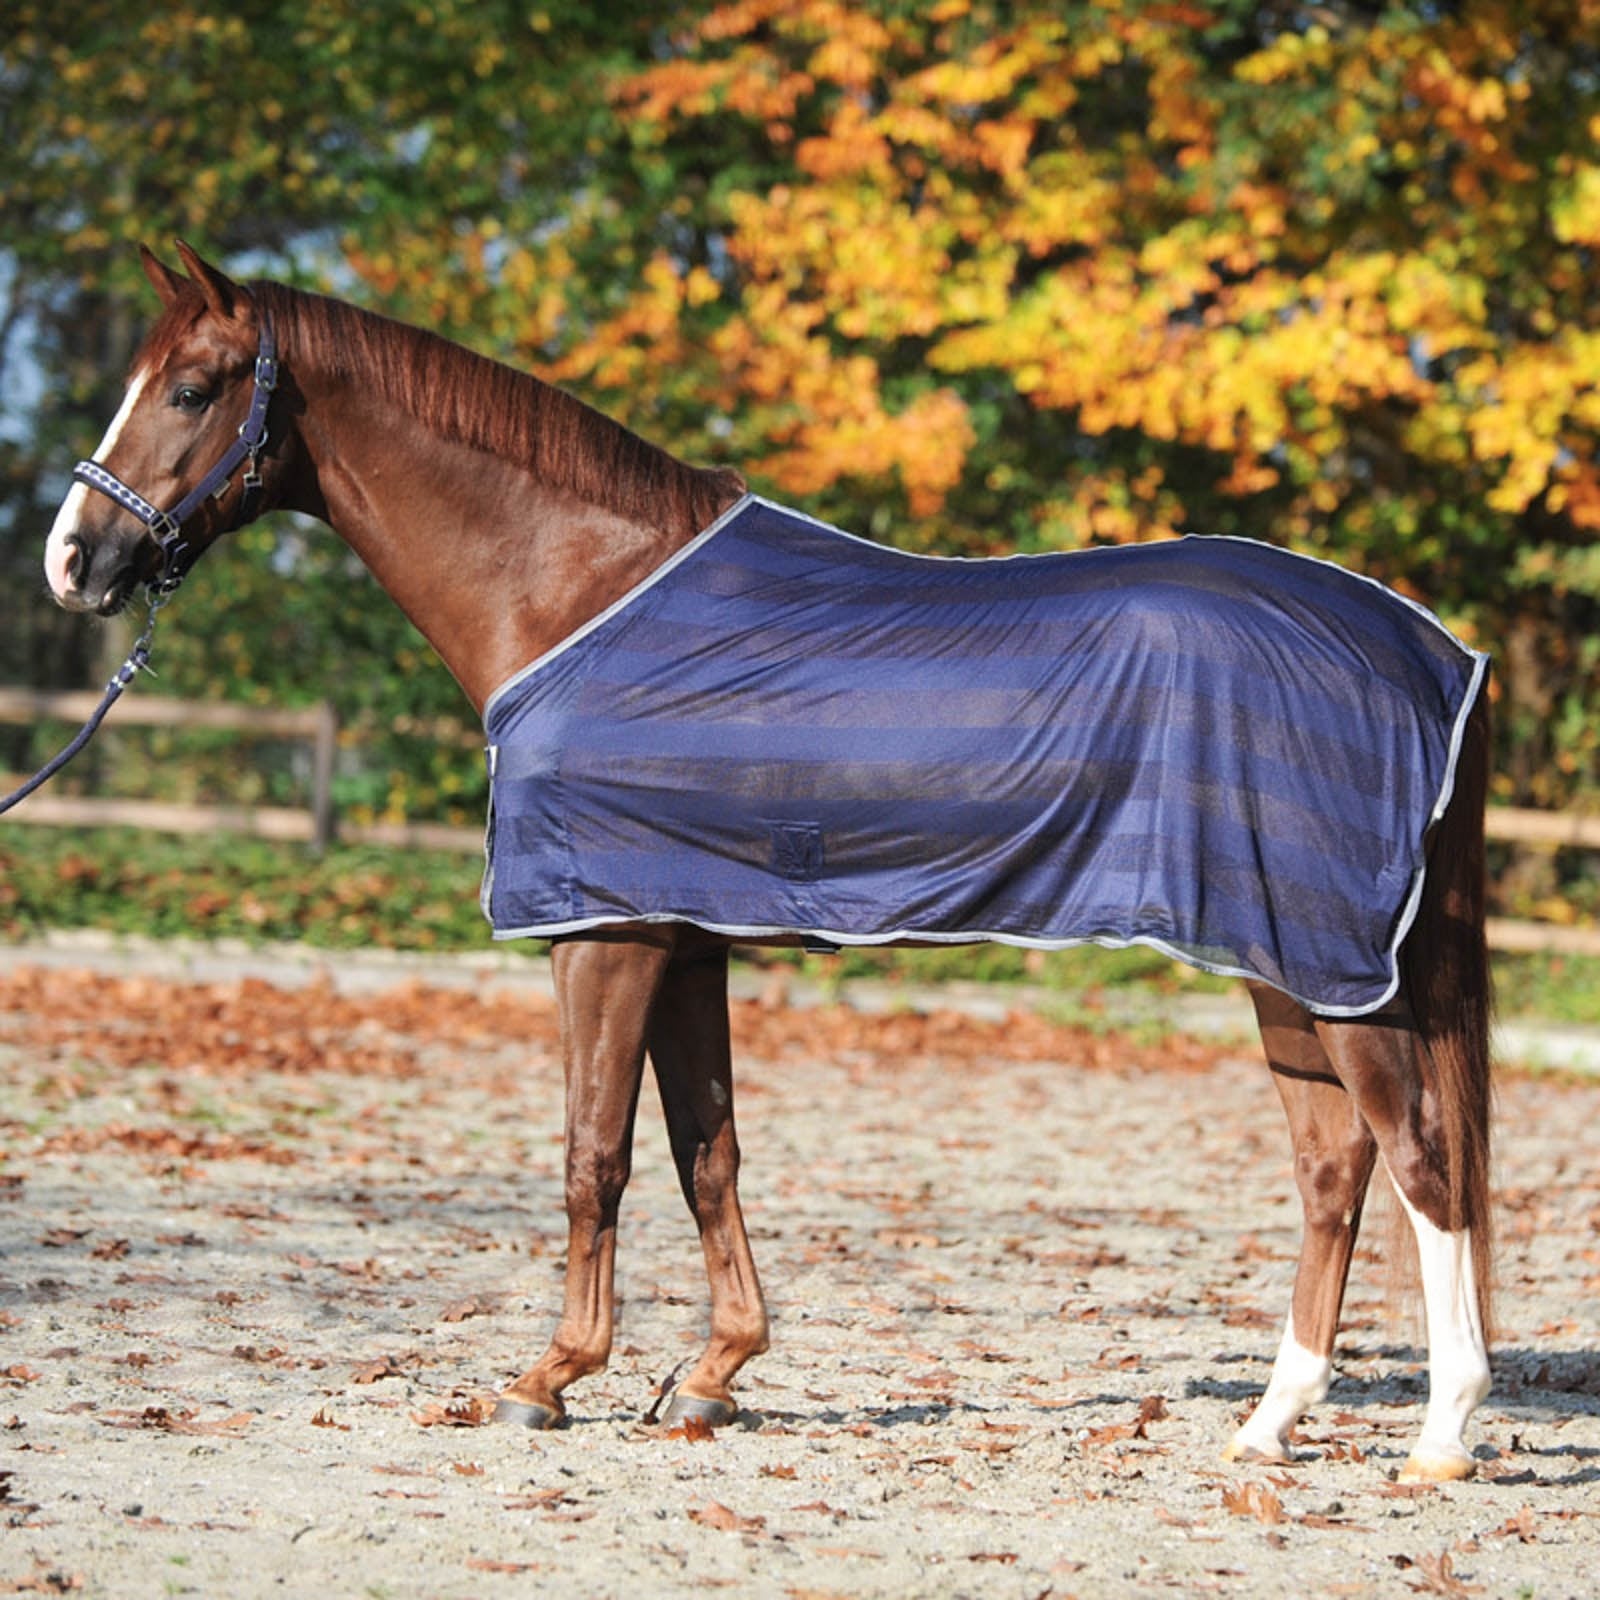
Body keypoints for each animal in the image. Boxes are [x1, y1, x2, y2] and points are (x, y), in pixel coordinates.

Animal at [43, 242, 1494, 1482]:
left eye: (190, 387)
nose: (73, 560)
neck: (576, 588)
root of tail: (1426, 647)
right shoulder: (682, 933)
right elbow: (708, 1152)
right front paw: (711, 1376)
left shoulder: (606, 933)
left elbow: (594, 1154)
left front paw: (549, 1379)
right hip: (1288, 966)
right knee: (1334, 1170)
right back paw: (1270, 1422)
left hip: (1326, 966)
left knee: (1420, 1158)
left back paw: (1442, 1436)